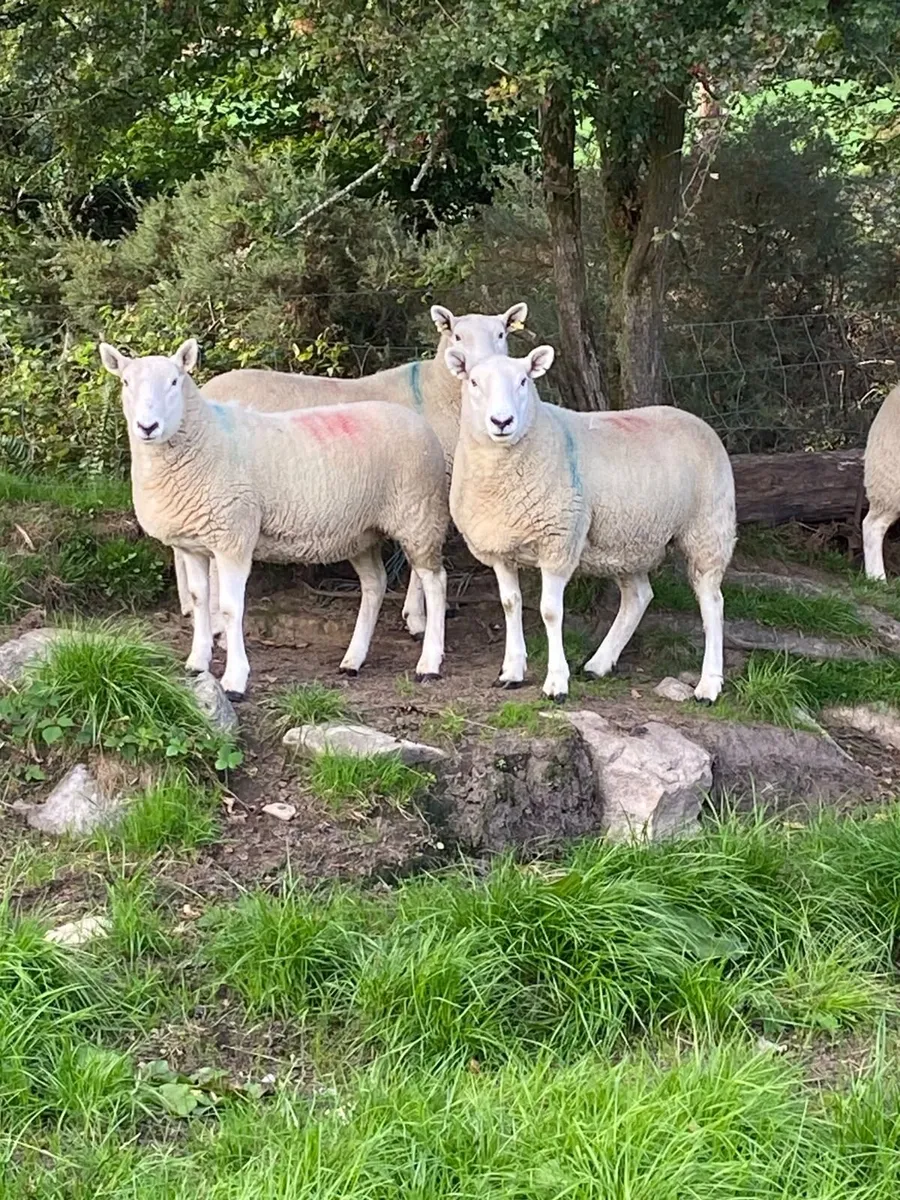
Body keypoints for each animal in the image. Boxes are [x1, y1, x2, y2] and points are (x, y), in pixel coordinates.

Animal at [99, 338, 449, 698]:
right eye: (125, 382)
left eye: (174, 382)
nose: (147, 427)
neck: (205, 438)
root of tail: (416, 421)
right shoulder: (192, 544)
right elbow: (199, 599)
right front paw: (197, 662)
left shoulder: (233, 537)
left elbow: (230, 608)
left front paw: (235, 679)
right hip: (361, 531)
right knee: (375, 584)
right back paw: (353, 659)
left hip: (418, 512)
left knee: (436, 582)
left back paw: (429, 662)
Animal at [178, 302, 528, 639]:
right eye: (457, 336)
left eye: (501, 334)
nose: (478, 367)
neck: (435, 392)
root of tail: (205, 390)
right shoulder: (424, 485)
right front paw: (417, 618)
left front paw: (414, 614)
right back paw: (213, 620)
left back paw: (189, 607)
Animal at [445, 345, 736, 702]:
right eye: (473, 381)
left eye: (524, 380)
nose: (502, 422)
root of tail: (698, 421)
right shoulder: (500, 547)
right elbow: (510, 605)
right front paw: (512, 671)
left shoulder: (558, 541)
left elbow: (550, 612)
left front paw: (556, 682)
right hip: (627, 539)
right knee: (639, 597)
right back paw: (599, 663)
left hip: (708, 528)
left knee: (713, 604)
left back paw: (709, 685)